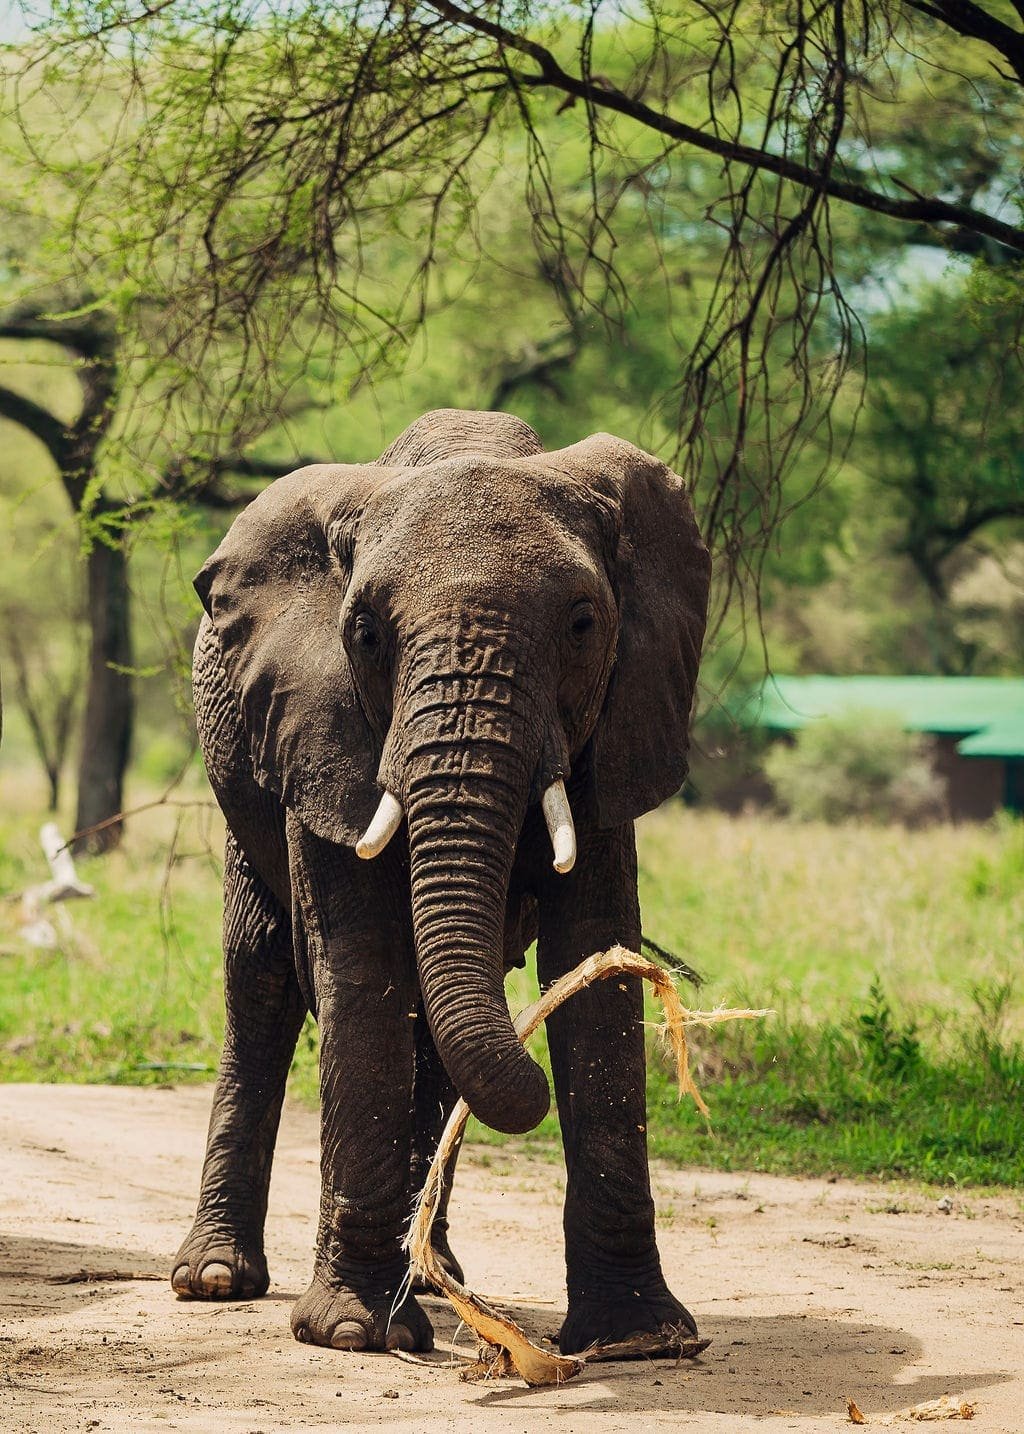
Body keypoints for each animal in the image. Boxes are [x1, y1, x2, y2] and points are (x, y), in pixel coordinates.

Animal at [171, 408, 711, 1357]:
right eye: (364, 634)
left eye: (583, 624)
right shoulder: (322, 728)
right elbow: (362, 970)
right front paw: (353, 1334)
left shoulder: (621, 722)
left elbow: (592, 973)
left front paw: (640, 1342)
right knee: (261, 984)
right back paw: (217, 1280)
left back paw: (436, 1276)